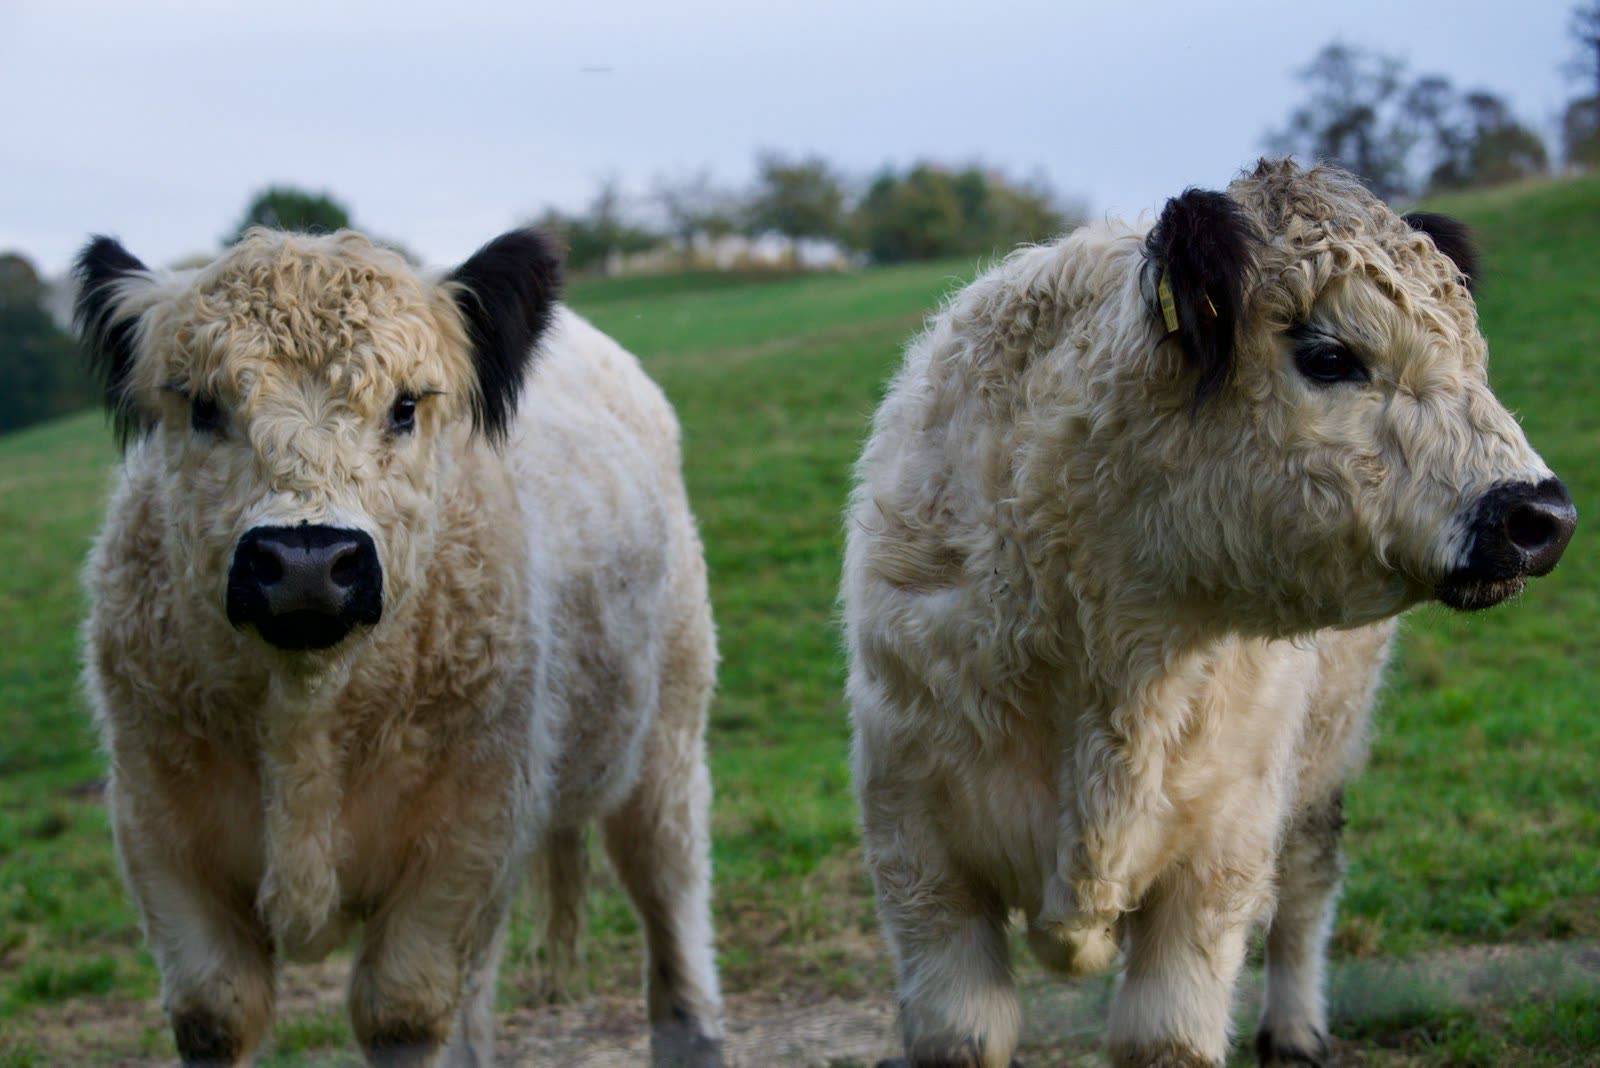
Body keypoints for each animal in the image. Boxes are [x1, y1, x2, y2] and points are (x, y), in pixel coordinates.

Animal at [75, 227, 724, 1067]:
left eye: (406, 404)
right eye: (204, 405)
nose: (307, 560)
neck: (305, 714)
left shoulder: (463, 842)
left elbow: (402, 1013)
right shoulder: (161, 838)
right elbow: (216, 1013)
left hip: (667, 738)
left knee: (669, 893)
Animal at [841, 160, 1575, 1067]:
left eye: (1473, 354)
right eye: (1330, 355)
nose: (1542, 516)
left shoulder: (1220, 859)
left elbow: (1169, 1033)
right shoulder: (919, 858)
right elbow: (963, 1031)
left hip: (1321, 760)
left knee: (1306, 890)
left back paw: (1295, 1029)